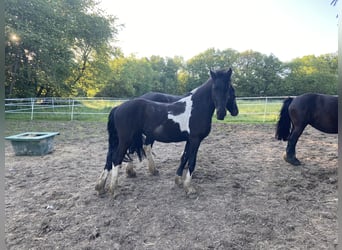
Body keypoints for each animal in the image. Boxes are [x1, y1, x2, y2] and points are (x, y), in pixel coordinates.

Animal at [95, 68, 235, 195]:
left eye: (228, 88)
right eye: (215, 88)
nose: (221, 113)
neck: (196, 108)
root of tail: (118, 108)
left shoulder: (189, 140)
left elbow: (184, 157)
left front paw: (178, 181)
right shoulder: (195, 140)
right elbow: (192, 162)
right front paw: (189, 188)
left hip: (120, 140)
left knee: (110, 158)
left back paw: (100, 187)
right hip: (126, 140)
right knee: (116, 158)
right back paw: (113, 189)